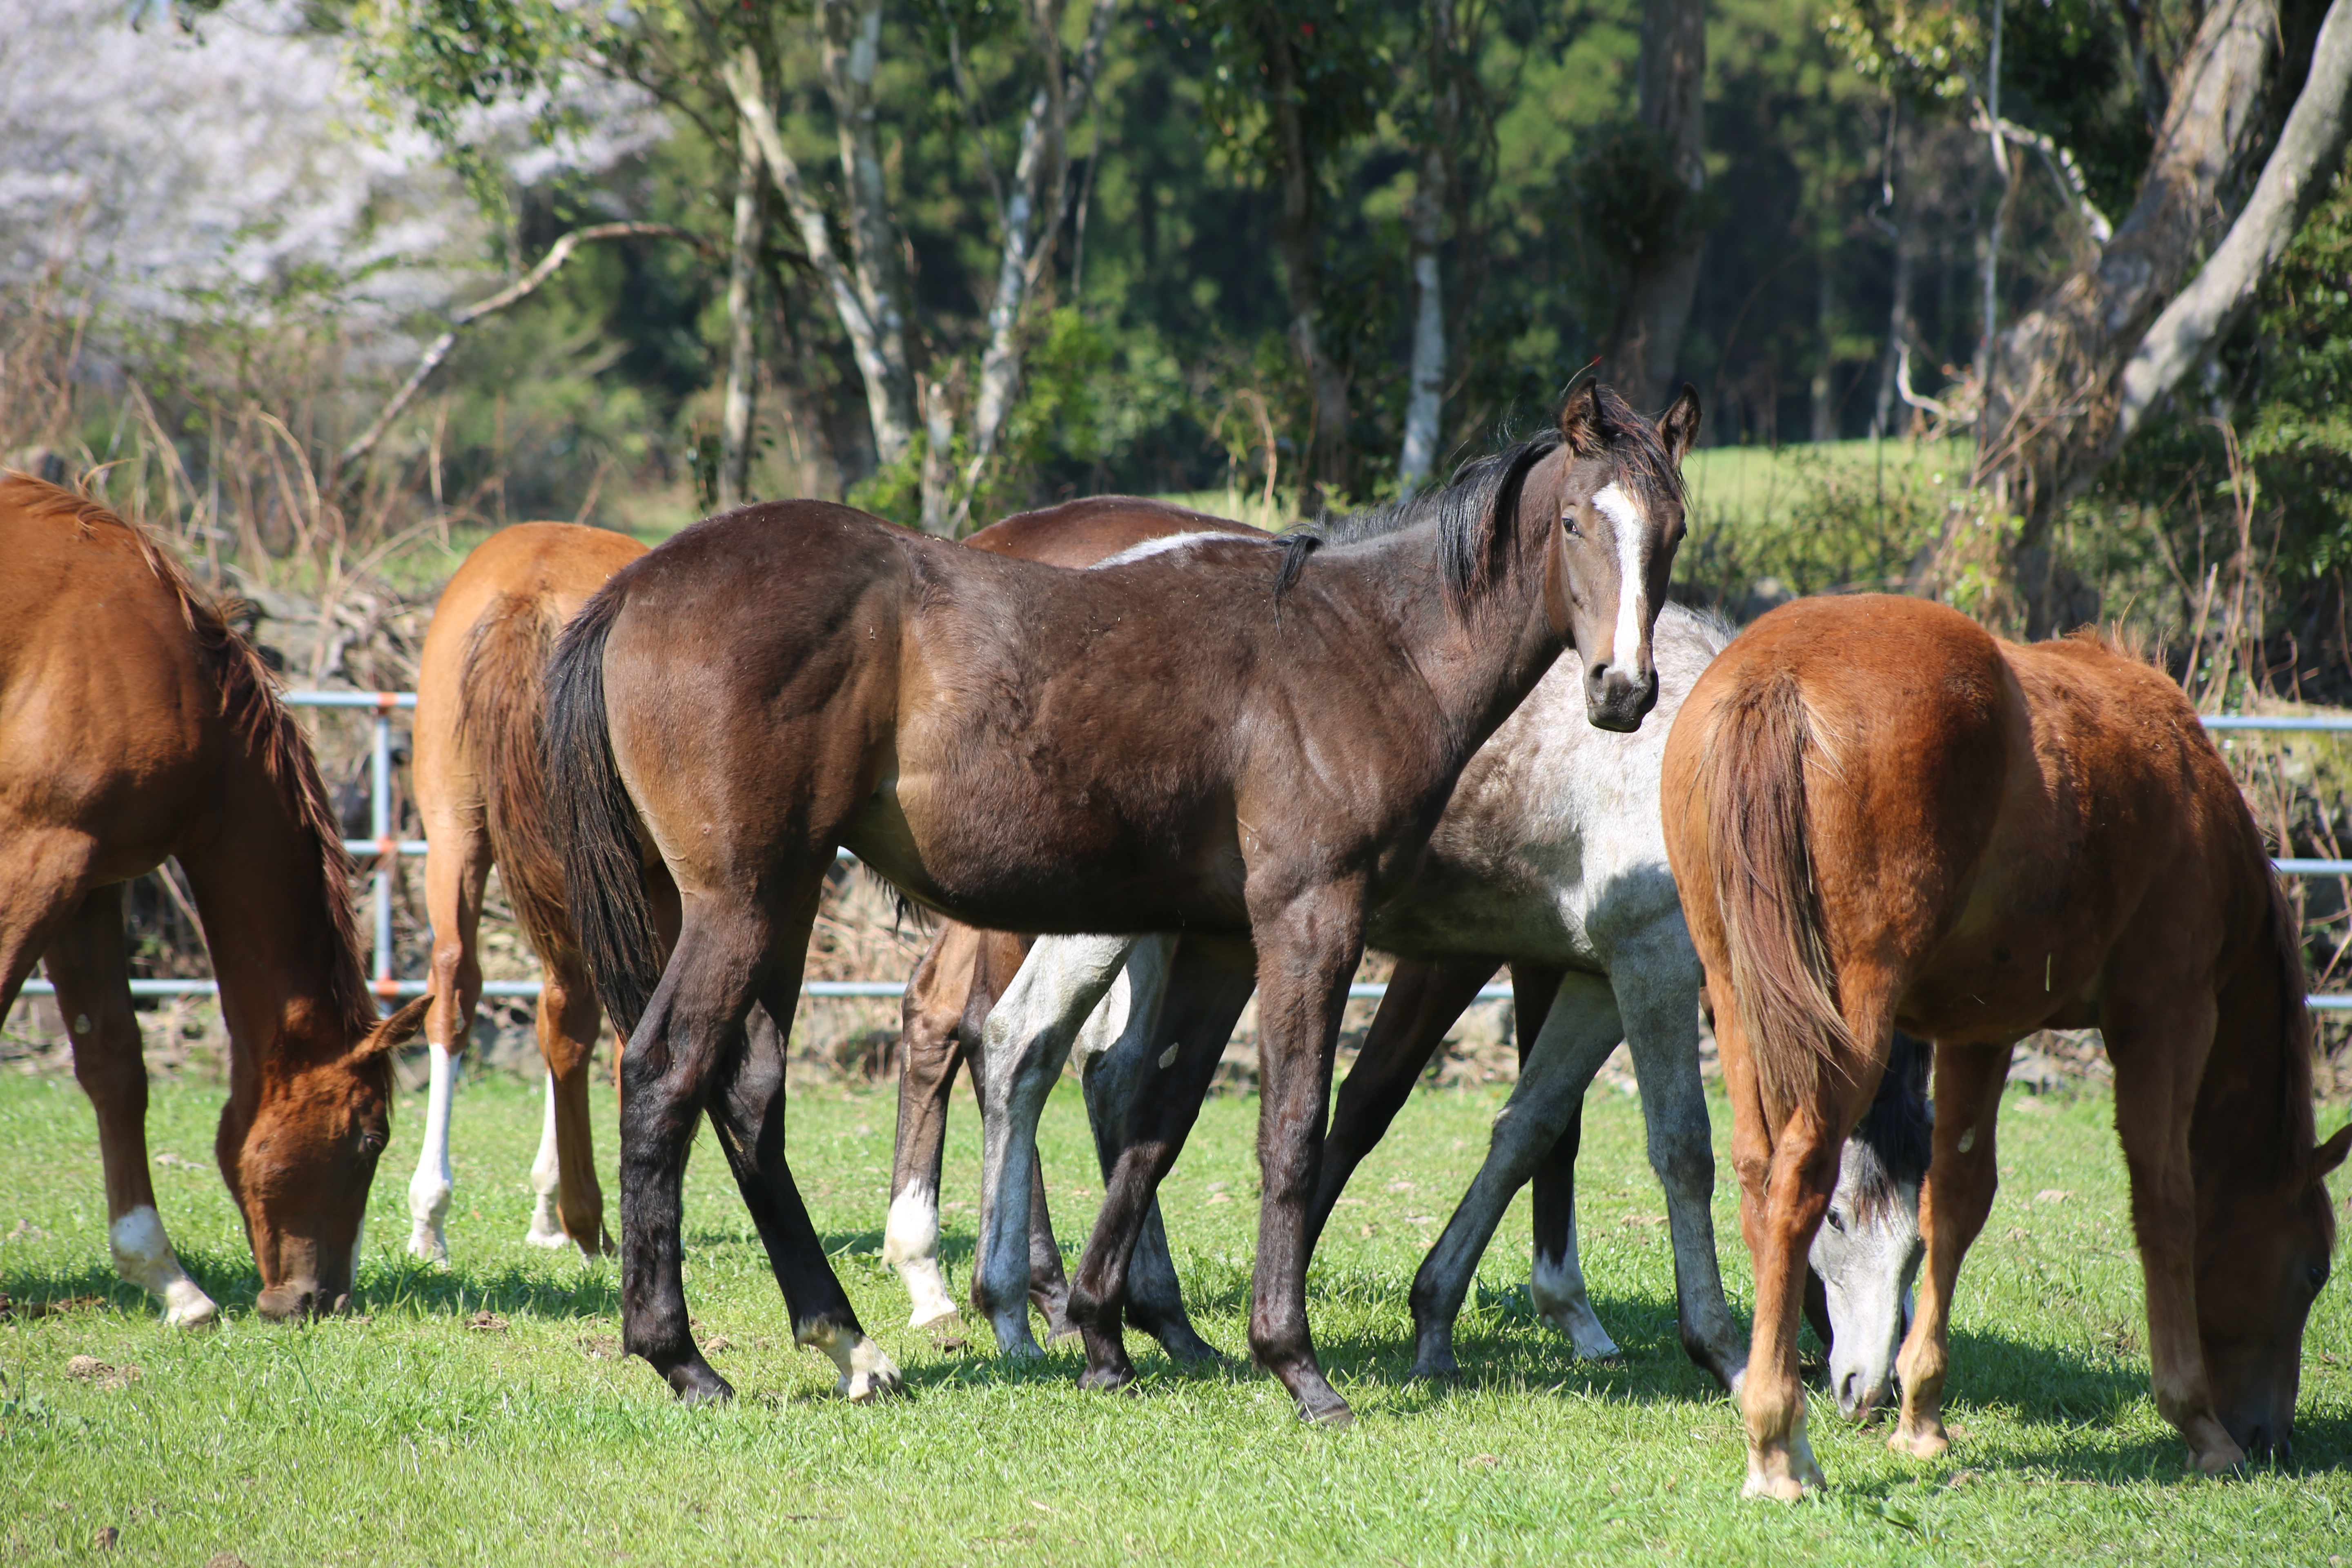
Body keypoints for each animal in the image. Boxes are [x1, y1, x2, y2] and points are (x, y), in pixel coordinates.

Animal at [0, 474, 428, 1326]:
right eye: (370, 1140)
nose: (320, 1299)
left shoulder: (87, 880)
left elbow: (115, 1066)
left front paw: (169, 1281)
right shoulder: (36, 854)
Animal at [546, 383, 1693, 1420]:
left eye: (1671, 529)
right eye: (1572, 521)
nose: (1622, 691)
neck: (1363, 645)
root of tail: (638, 585)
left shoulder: (1222, 941)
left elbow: (1155, 1122)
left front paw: (1108, 1336)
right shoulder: (1310, 920)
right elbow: (1293, 1129)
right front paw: (1294, 1364)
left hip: (779, 907)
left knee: (749, 1093)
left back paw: (851, 1346)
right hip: (741, 902)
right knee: (666, 1069)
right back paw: (684, 1356)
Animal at [1665, 592, 2342, 1495]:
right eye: (2314, 1271)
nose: (2270, 1437)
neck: (2185, 787)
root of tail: (1773, 672)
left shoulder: (1980, 1033)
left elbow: (1955, 1201)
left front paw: (1922, 1417)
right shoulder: (2166, 1015)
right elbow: (2166, 1203)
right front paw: (2198, 1423)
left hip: (1739, 998)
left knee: (1757, 1173)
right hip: (1849, 1021)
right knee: (1803, 1174)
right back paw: (1780, 1446)